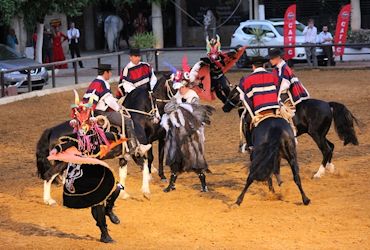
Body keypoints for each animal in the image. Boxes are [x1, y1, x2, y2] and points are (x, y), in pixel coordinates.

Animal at [223, 86, 358, 178]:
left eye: (233, 94)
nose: (224, 108)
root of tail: (328, 104)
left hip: (316, 134)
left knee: (326, 150)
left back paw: (318, 174)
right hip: (321, 134)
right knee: (331, 146)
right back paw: (330, 168)